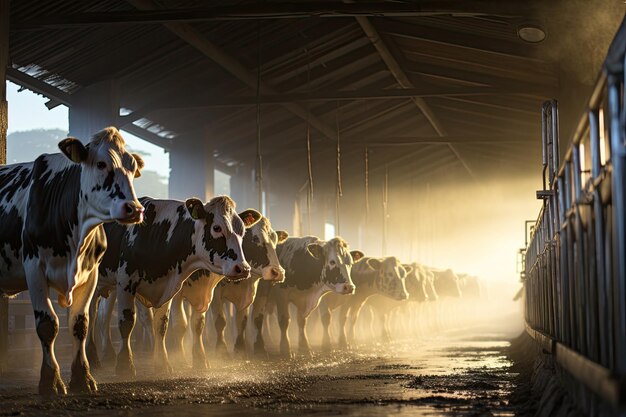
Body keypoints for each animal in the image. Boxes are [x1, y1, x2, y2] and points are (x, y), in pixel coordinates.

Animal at [0, 127, 142, 394]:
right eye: (101, 163)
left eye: (132, 168)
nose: (134, 209)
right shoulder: (34, 268)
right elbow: (47, 325)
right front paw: (51, 380)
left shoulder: (91, 273)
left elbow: (80, 324)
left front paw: (82, 377)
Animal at [87, 195, 258, 376]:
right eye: (217, 228)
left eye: (242, 231)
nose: (243, 268)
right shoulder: (125, 283)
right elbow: (127, 322)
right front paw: (125, 365)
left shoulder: (168, 288)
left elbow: (163, 324)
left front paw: (163, 363)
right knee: (93, 315)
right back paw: (94, 357)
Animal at [163, 219, 286, 366]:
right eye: (255, 238)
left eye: (275, 240)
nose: (278, 272)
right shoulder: (209, 293)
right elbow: (219, 321)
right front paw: (221, 350)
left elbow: (246, 320)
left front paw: (243, 348)